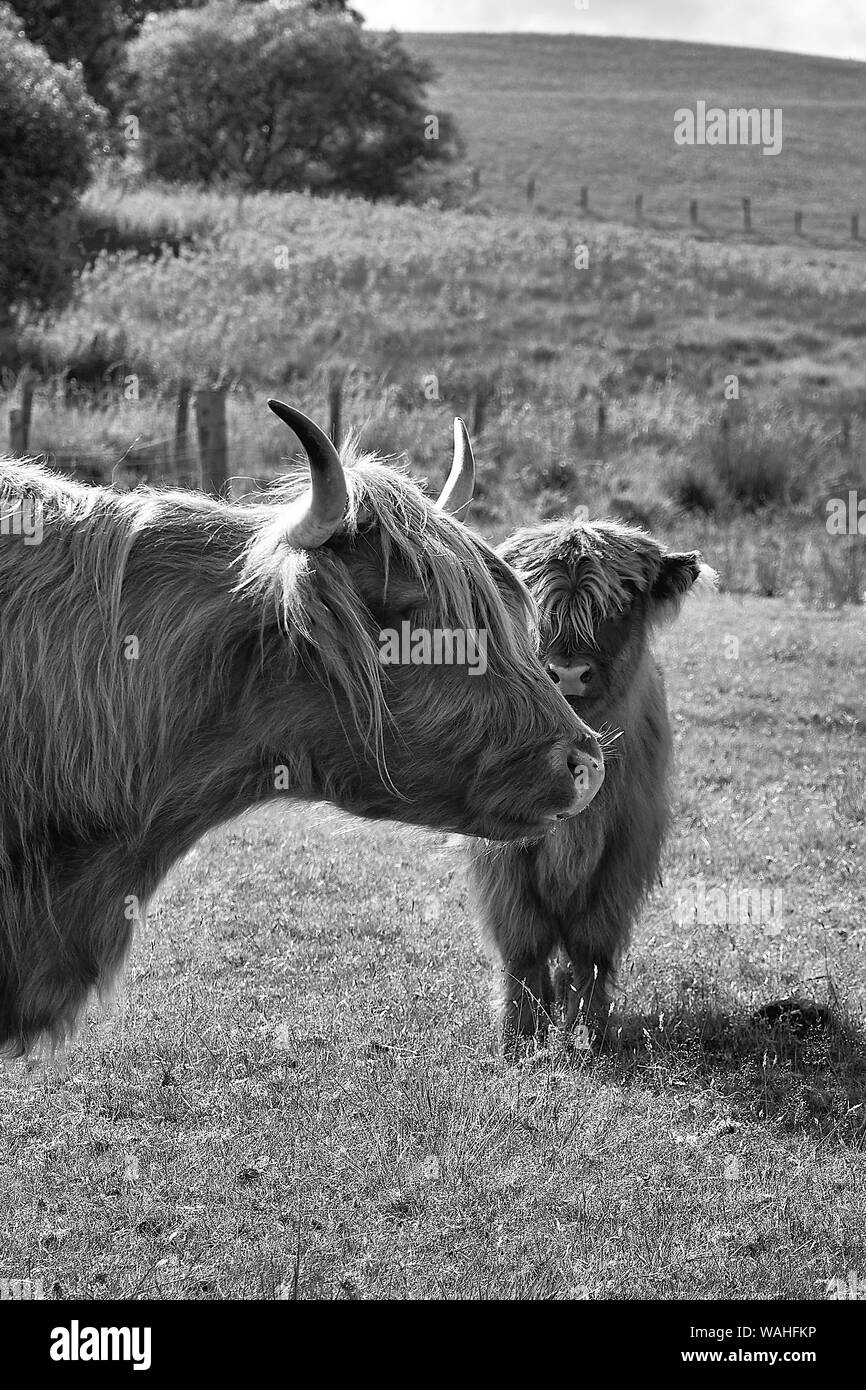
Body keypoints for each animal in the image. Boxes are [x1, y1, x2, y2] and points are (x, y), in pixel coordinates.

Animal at [469, 517, 717, 1045]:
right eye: (534, 601)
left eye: (620, 603)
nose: (568, 673)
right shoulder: (502, 854)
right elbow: (523, 944)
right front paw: (520, 1036)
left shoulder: (625, 851)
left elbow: (593, 946)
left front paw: (589, 1035)